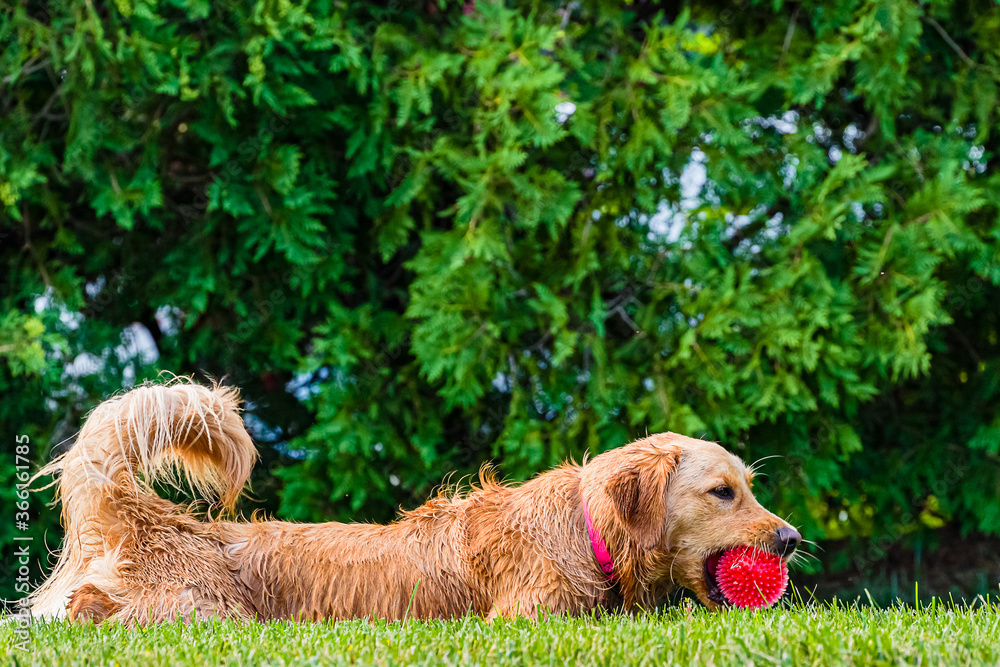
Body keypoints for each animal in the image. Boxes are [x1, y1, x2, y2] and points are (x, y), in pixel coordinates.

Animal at [27, 380, 800, 628]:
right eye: (723, 491)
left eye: (750, 485)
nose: (791, 538)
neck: (587, 533)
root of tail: (155, 520)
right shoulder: (526, 616)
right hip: (207, 610)